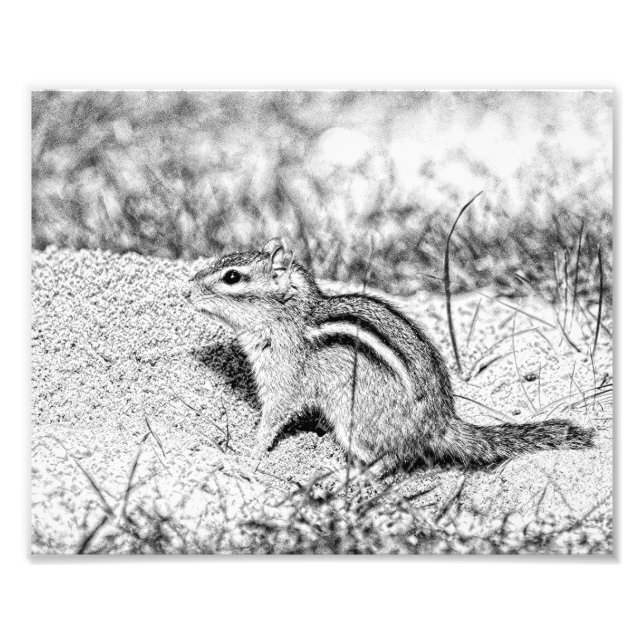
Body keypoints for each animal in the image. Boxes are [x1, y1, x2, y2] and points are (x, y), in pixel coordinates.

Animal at [186, 238, 594, 475]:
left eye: (232, 277)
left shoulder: (283, 379)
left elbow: (273, 418)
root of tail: (439, 424)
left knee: (394, 458)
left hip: (353, 420)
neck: (290, 317)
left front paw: (249, 454)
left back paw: (350, 477)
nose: (187, 291)